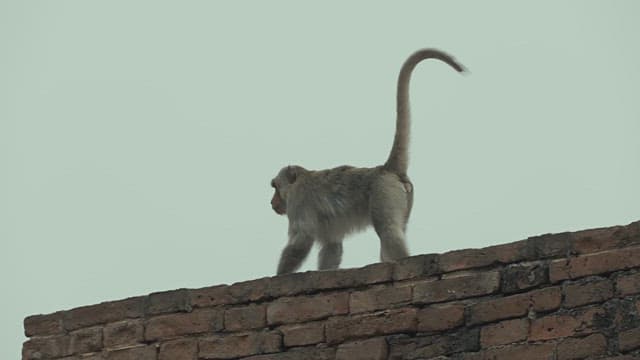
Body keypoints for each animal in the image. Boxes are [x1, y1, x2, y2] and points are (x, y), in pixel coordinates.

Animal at [270, 47, 464, 272]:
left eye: (275, 187)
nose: (272, 201)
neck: (298, 180)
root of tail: (386, 169)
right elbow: (332, 246)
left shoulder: (298, 201)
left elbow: (301, 239)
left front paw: (279, 275)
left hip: (384, 192)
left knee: (388, 229)